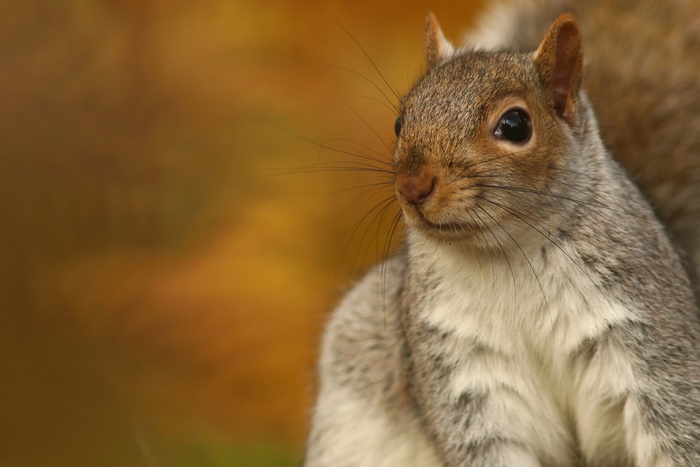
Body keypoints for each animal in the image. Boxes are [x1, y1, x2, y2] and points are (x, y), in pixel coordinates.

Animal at [307, 1, 700, 466]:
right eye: (401, 122)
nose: (412, 185)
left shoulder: (649, 343)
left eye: (515, 125)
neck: (513, 255)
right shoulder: (462, 368)